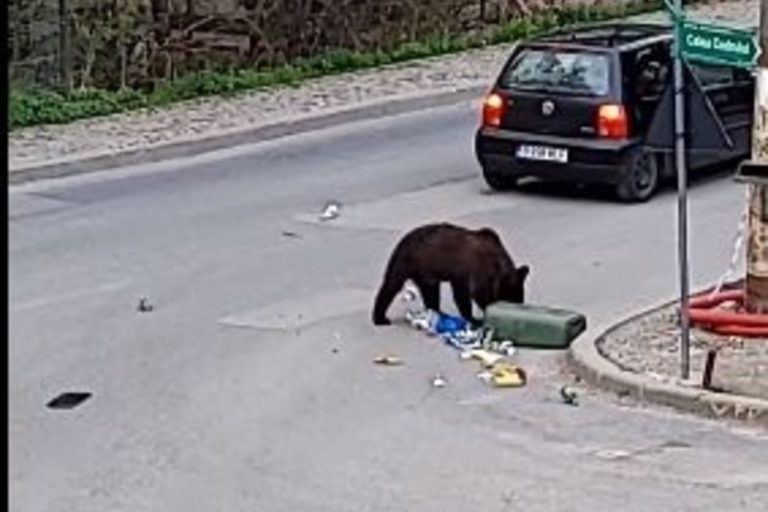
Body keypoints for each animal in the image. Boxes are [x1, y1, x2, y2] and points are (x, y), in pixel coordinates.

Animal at [372, 223, 529, 326]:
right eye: (513, 299)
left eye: (520, 299)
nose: (519, 308)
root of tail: (403, 238)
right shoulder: (476, 268)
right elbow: (475, 293)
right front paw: (478, 318)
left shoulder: (460, 276)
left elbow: (462, 294)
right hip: (407, 259)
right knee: (392, 284)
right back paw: (380, 318)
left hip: (426, 273)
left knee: (430, 292)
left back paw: (437, 312)